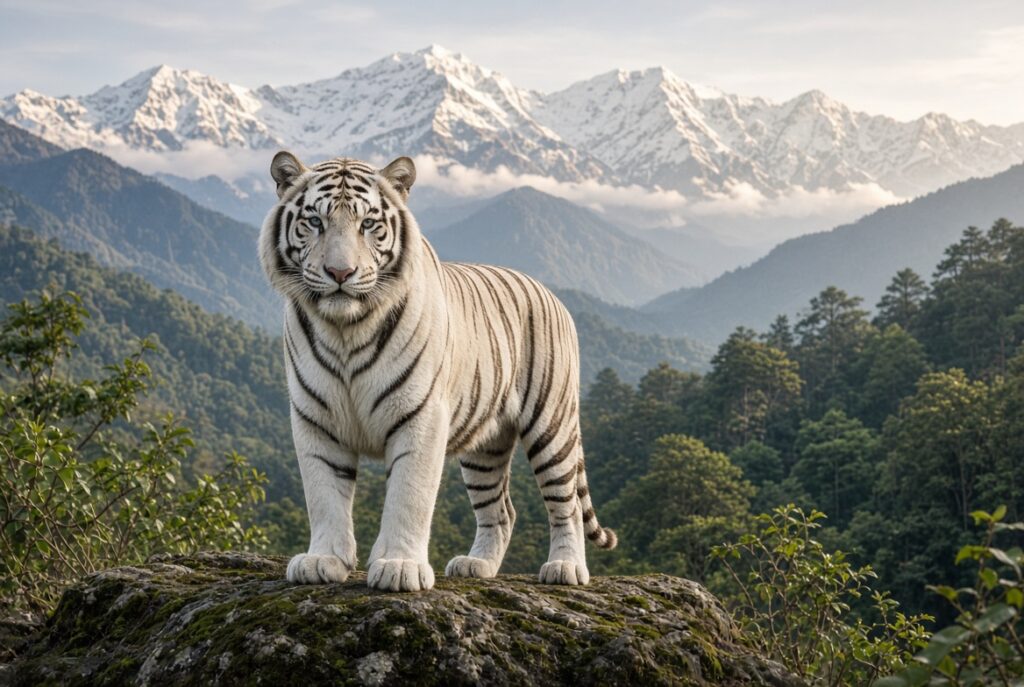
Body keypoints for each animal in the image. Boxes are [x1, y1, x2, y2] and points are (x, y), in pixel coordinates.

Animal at [258, 151, 617, 592]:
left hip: (552, 425)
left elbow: (408, 496)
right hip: (485, 448)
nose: (340, 273)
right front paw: (322, 560)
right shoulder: (315, 419)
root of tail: (550, 293)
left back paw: (566, 568)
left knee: (565, 503)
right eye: (314, 221)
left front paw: (399, 566)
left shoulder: (421, 416)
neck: (345, 330)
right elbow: (324, 494)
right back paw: (476, 564)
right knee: (501, 510)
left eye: (368, 224)